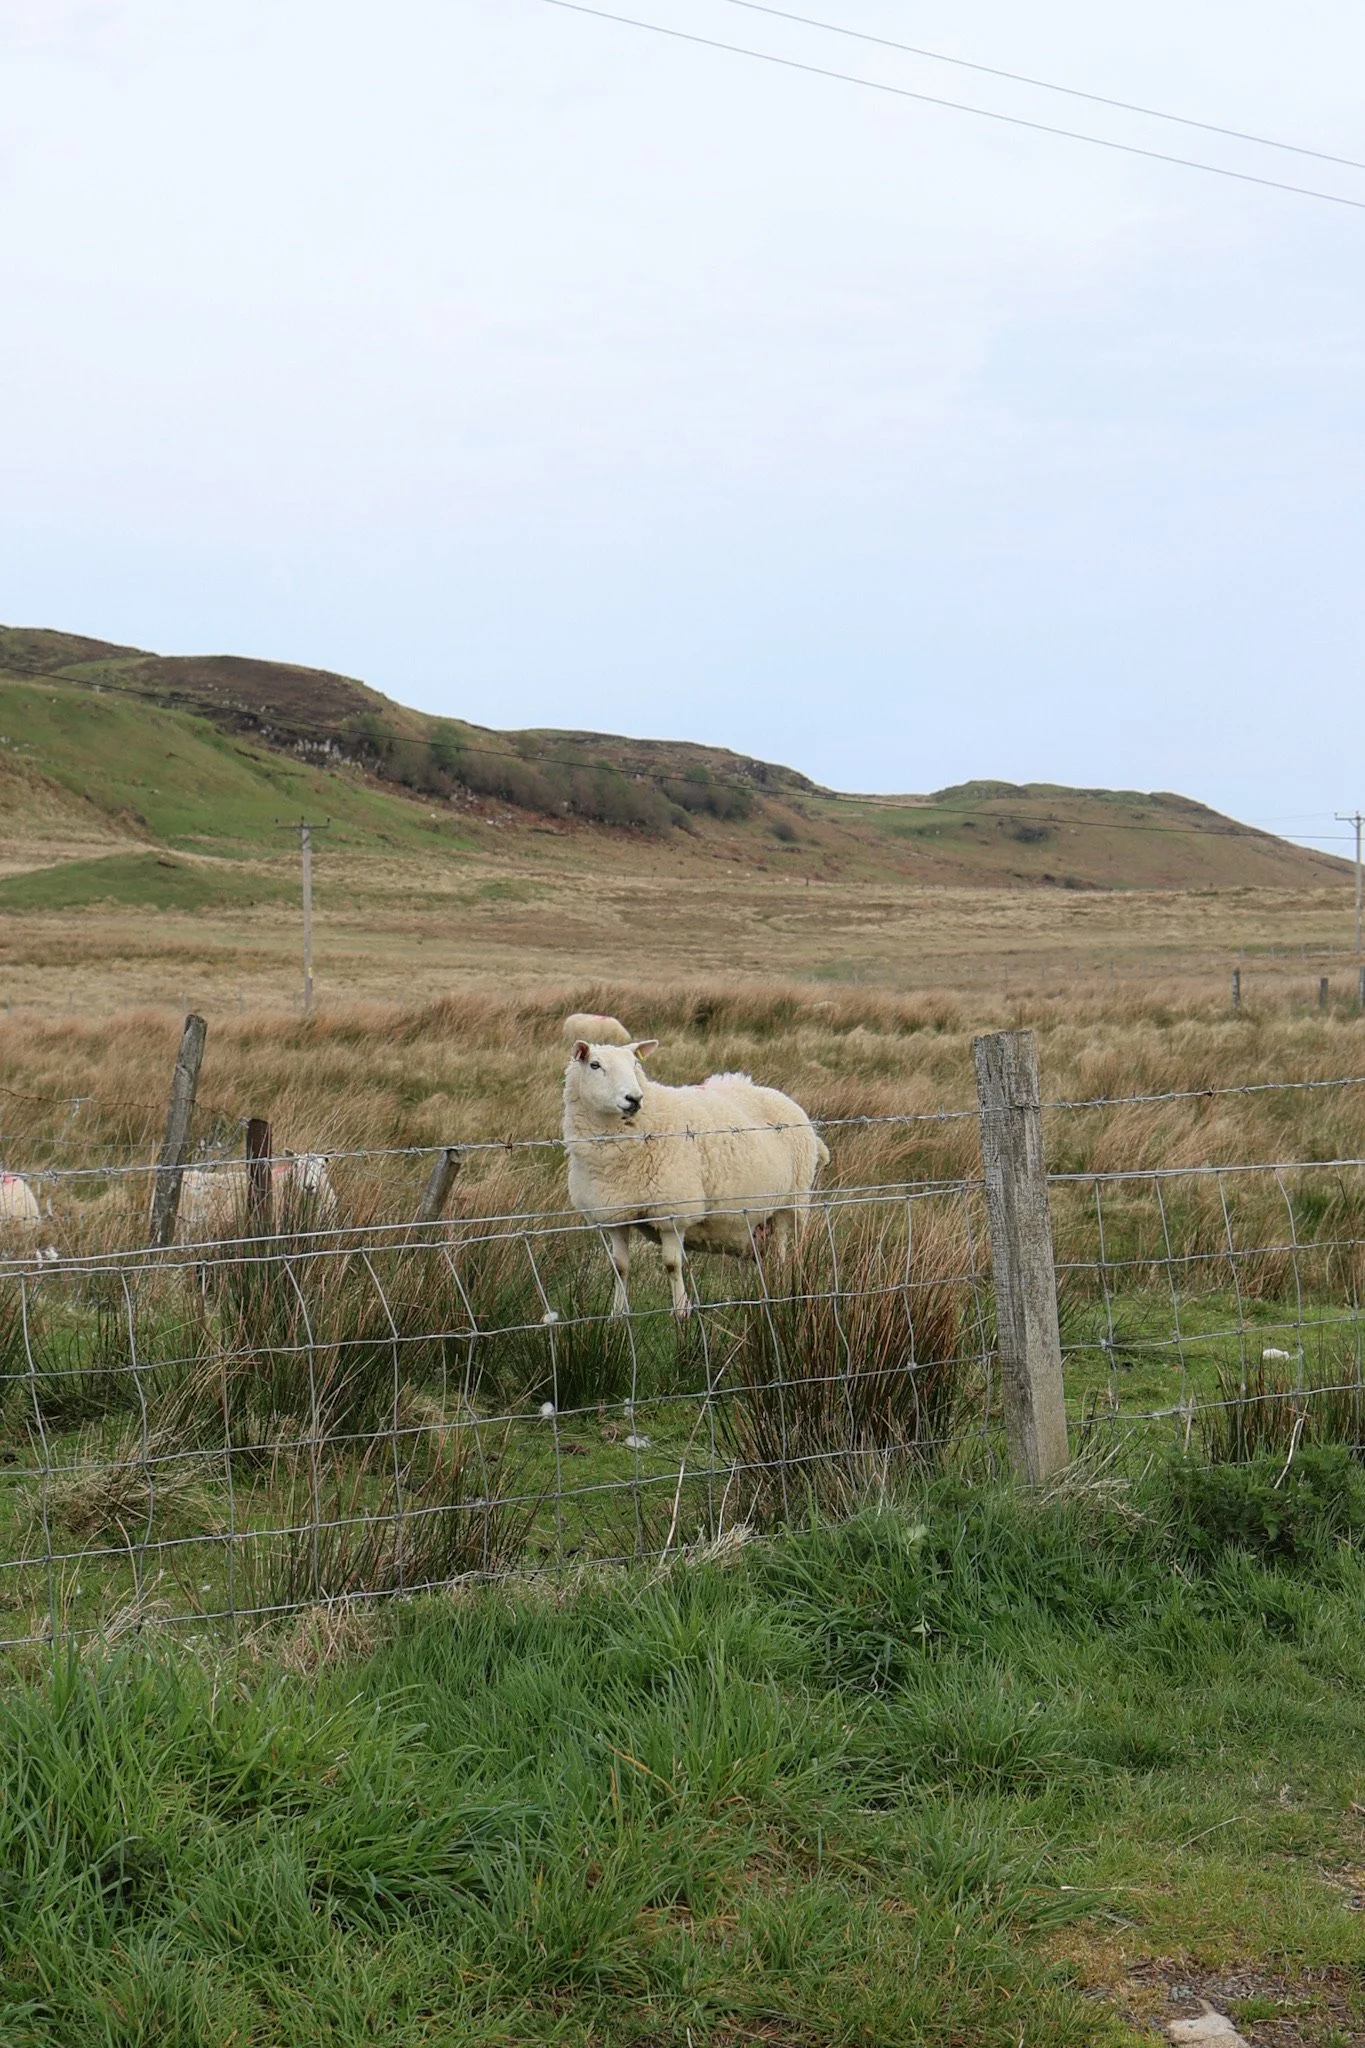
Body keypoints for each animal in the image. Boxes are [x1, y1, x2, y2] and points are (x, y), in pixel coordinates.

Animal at [562, 1038, 829, 1318]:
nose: (634, 1098)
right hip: (756, 1217)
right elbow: (620, 1267)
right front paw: (617, 1315)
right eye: (595, 1065)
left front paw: (681, 1311)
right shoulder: (613, 1216)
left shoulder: (673, 1212)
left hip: (793, 1201)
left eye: (635, 1064)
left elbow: (671, 1264)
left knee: (786, 1249)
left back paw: (787, 1283)